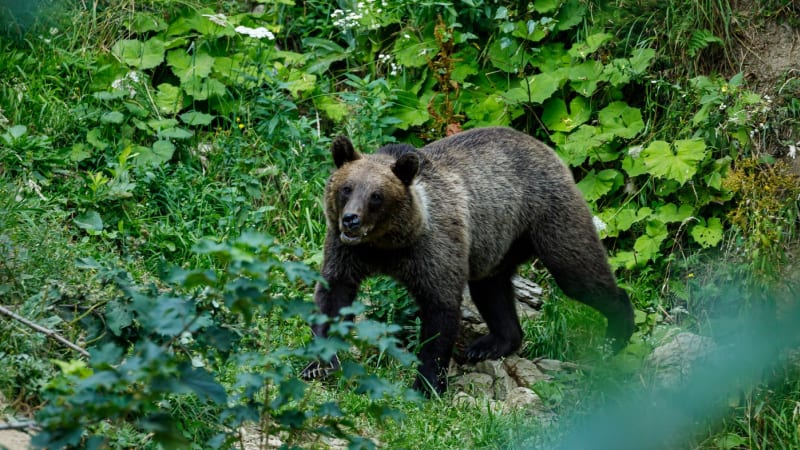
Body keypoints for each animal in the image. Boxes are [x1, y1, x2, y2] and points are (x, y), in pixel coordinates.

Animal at [304, 126, 636, 394]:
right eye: (346, 188)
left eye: (376, 195)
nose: (351, 220)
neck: (387, 245)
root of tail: (543, 146)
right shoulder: (347, 252)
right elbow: (333, 295)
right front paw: (318, 365)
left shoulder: (432, 250)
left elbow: (439, 312)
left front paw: (427, 384)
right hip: (497, 242)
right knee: (491, 289)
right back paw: (492, 344)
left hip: (548, 216)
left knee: (577, 272)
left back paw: (616, 334)